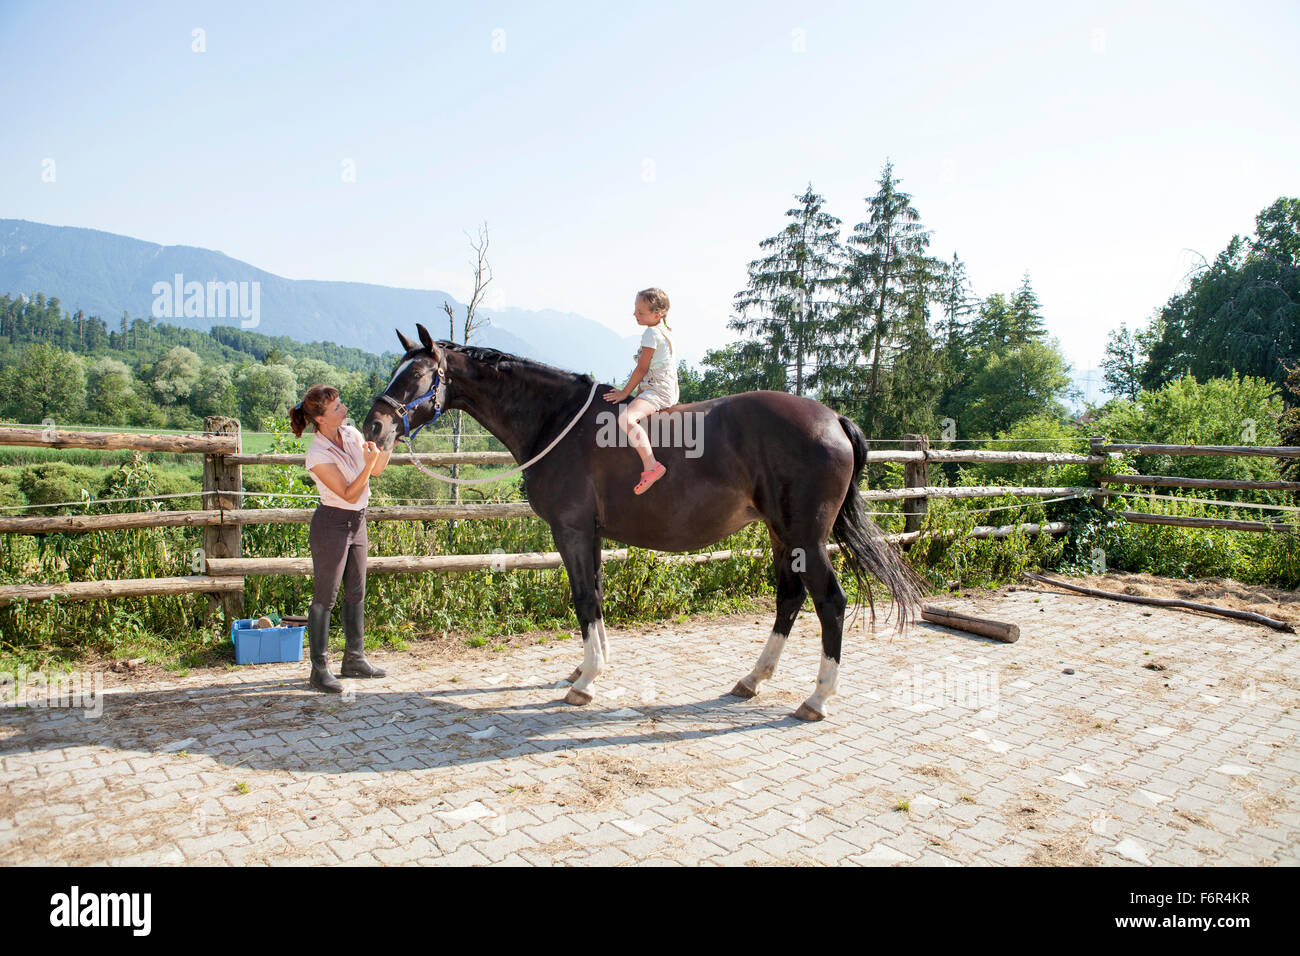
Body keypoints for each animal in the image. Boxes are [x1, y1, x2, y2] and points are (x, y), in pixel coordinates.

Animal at [361, 325, 920, 723]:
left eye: (415, 377)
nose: (374, 427)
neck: (557, 422)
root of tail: (833, 420)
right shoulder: (590, 535)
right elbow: (596, 596)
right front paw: (589, 666)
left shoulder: (572, 531)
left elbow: (583, 598)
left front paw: (585, 681)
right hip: (783, 536)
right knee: (790, 597)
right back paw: (752, 680)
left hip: (806, 536)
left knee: (830, 603)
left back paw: (817, 699)